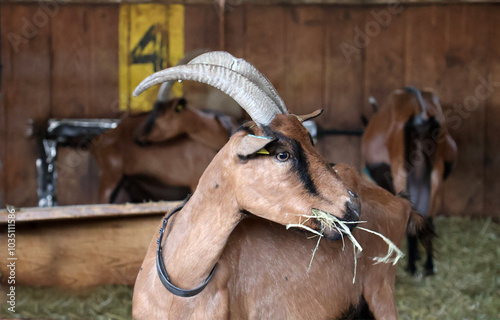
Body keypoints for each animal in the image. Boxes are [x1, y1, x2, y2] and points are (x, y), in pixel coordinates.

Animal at [133, 51, 434, 318]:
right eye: (282, 154)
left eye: (310, 141)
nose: (352, 205)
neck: (181, 283)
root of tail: (399, 201)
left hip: (381, 293)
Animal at [360, 87, 458, 276]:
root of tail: (420, 116)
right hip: (435, 182)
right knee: (428, 220)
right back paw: (428, 266)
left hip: (401, 176)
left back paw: (411, 266)